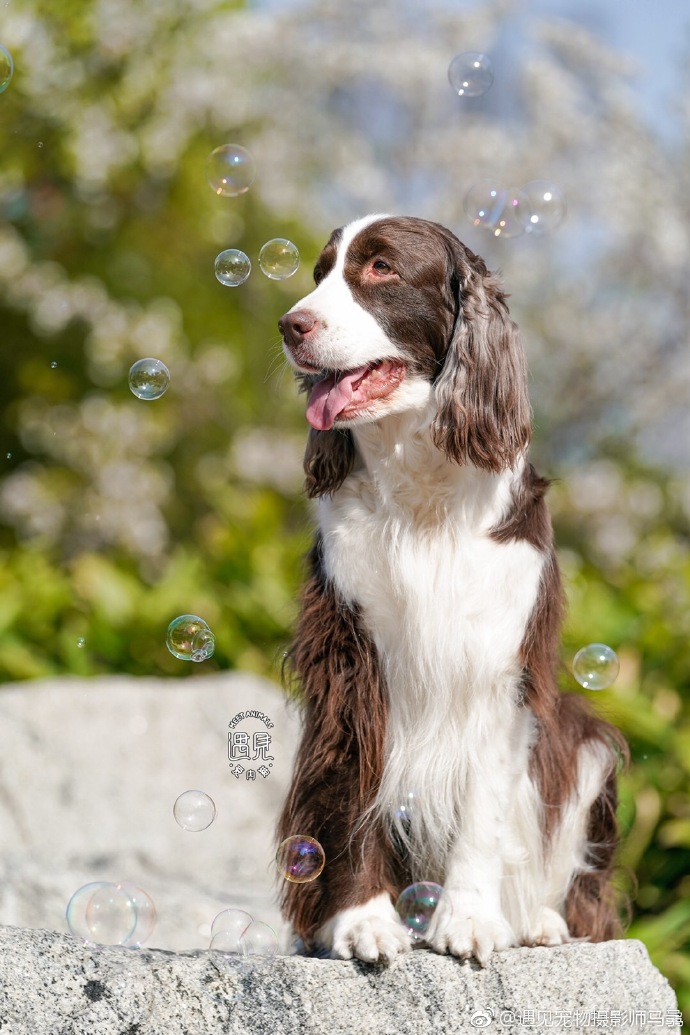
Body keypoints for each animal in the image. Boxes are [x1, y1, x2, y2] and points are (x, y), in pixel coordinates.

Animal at [273, 214, 624, 964]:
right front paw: (363, 920)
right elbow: (353, 788)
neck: (423, 494)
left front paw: (466, 919)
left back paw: (539, 921)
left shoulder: (500, 669)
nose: (291, 324)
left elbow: (484, 810)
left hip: (586, 746)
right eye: (318, 271)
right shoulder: (352, 660)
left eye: (380, 268)